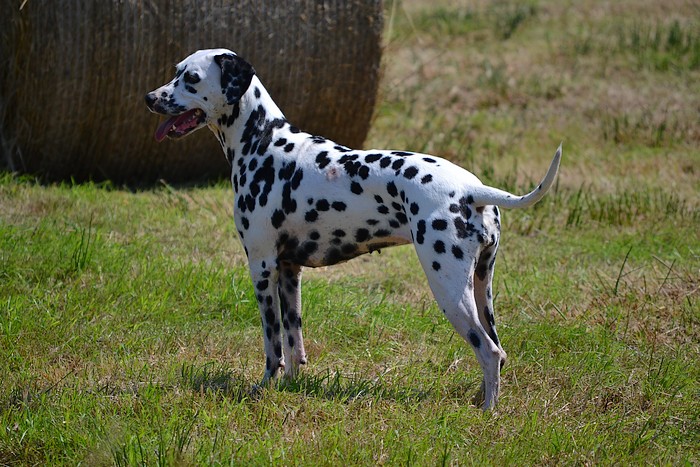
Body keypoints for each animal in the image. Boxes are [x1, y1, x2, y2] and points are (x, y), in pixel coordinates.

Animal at [145, 49, 560, 412]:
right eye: (175, 70)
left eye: (191, 78)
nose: (149, 98)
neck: (264, 144)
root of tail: (474, 190)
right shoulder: (289, 272)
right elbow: (294, 343)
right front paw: (291, 387)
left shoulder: (262, 268)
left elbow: (272, 345)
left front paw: (263, 389)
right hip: (481, 288)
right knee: (497, 350)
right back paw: (481, 398)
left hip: (449, 289)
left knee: (489, 351)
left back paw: (487, 411)